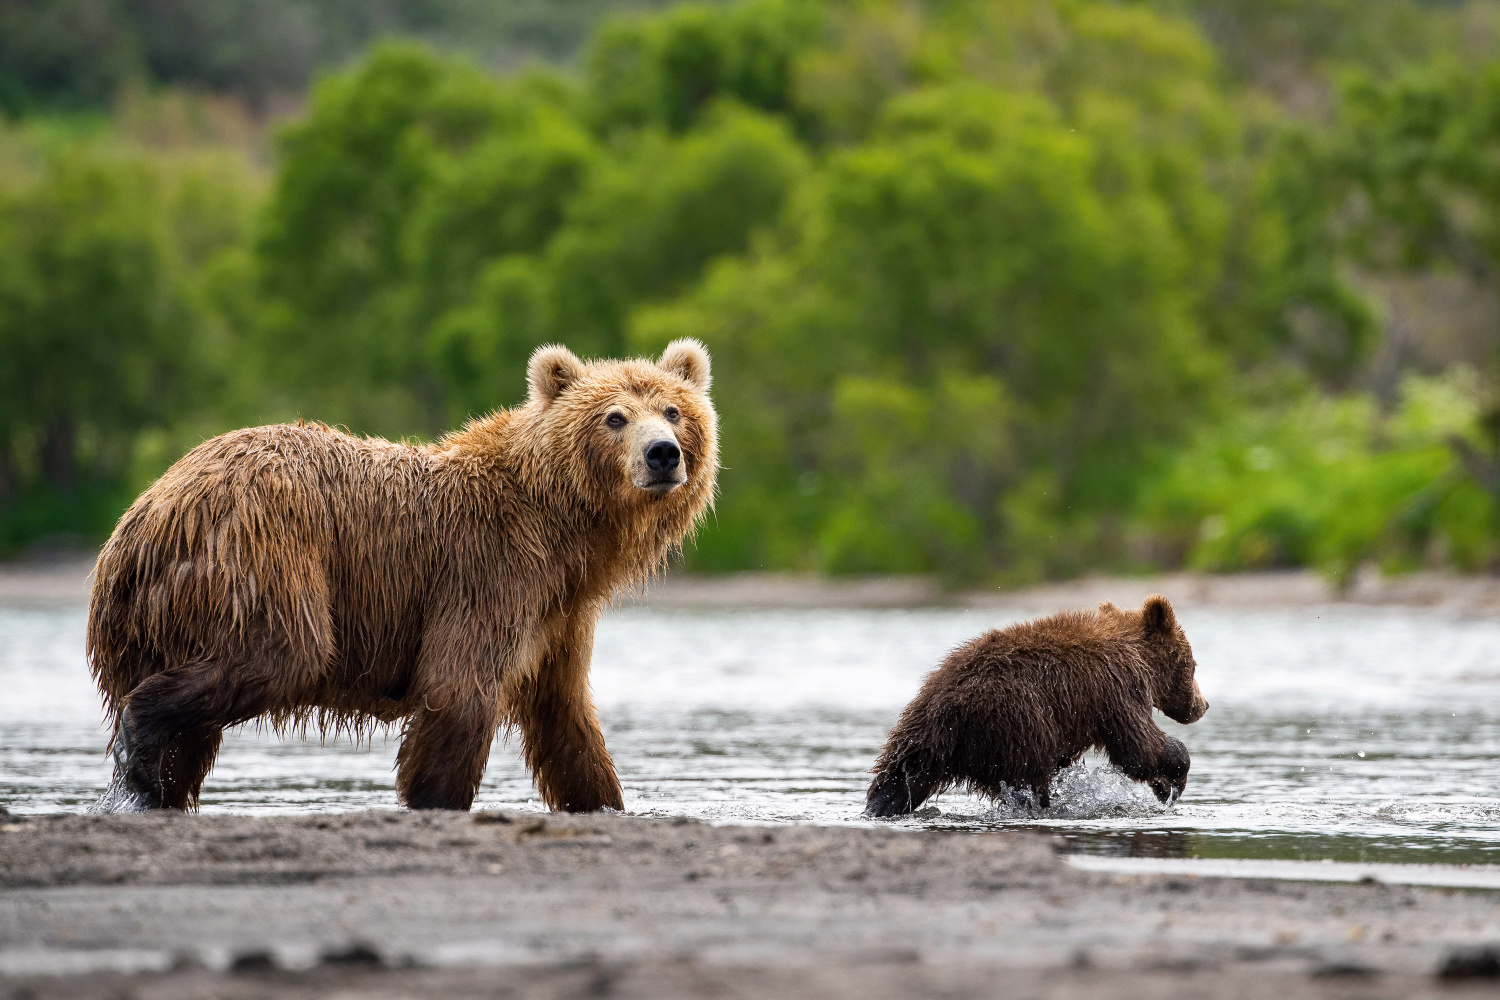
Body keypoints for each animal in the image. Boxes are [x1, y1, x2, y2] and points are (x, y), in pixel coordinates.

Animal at [89, 340, 720, 809]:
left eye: (673, 411)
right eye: (615, 417)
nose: (663, 454)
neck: (564, 527)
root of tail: (143, 517)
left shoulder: (560, 612)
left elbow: (564, 713)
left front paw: (605, 800)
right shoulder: (488, 569)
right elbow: (458, 687)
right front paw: (436, 797)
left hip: (166, 610)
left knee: (196, 736)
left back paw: (157, 784)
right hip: (262, 551)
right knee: (282, 651)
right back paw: (140, 754)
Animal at [870, 599, 1206, 815]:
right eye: (1193, 664)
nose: (1202, 705)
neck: (1141, 658)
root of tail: (944, 708)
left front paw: (1164, 785)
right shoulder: (1118, 687)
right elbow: (1138, 746)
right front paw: (1174, 778)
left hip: (918, 735)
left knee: (898, 778)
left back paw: (879, 807)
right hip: (1015, 721)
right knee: (1028, 778)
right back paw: (1044, 805)